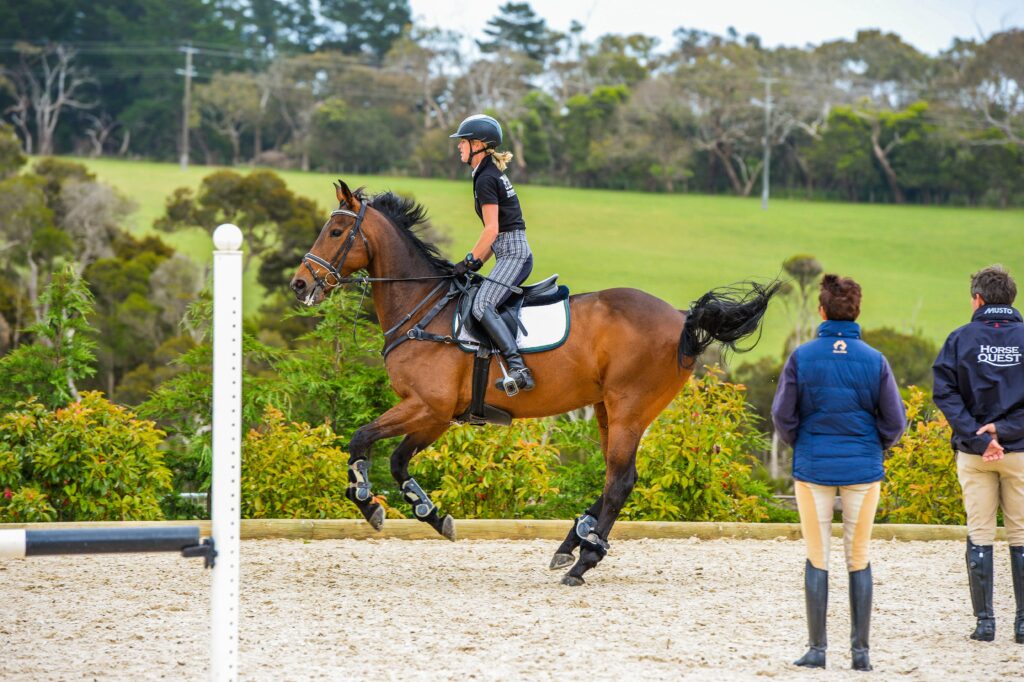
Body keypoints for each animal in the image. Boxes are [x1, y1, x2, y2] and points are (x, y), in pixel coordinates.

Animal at [288, 182, 774, 585]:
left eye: (335, 231)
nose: (299, 284)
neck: (424, 306)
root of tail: (680, 316)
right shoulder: (436, 415)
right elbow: (398, 462)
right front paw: (432, 514)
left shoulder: (428, 406)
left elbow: (361, 439)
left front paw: (367, 501)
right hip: (607, 410)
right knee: (616, 478)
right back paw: (573, 542)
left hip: (629, 409)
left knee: (620, 481)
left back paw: (582, 562)